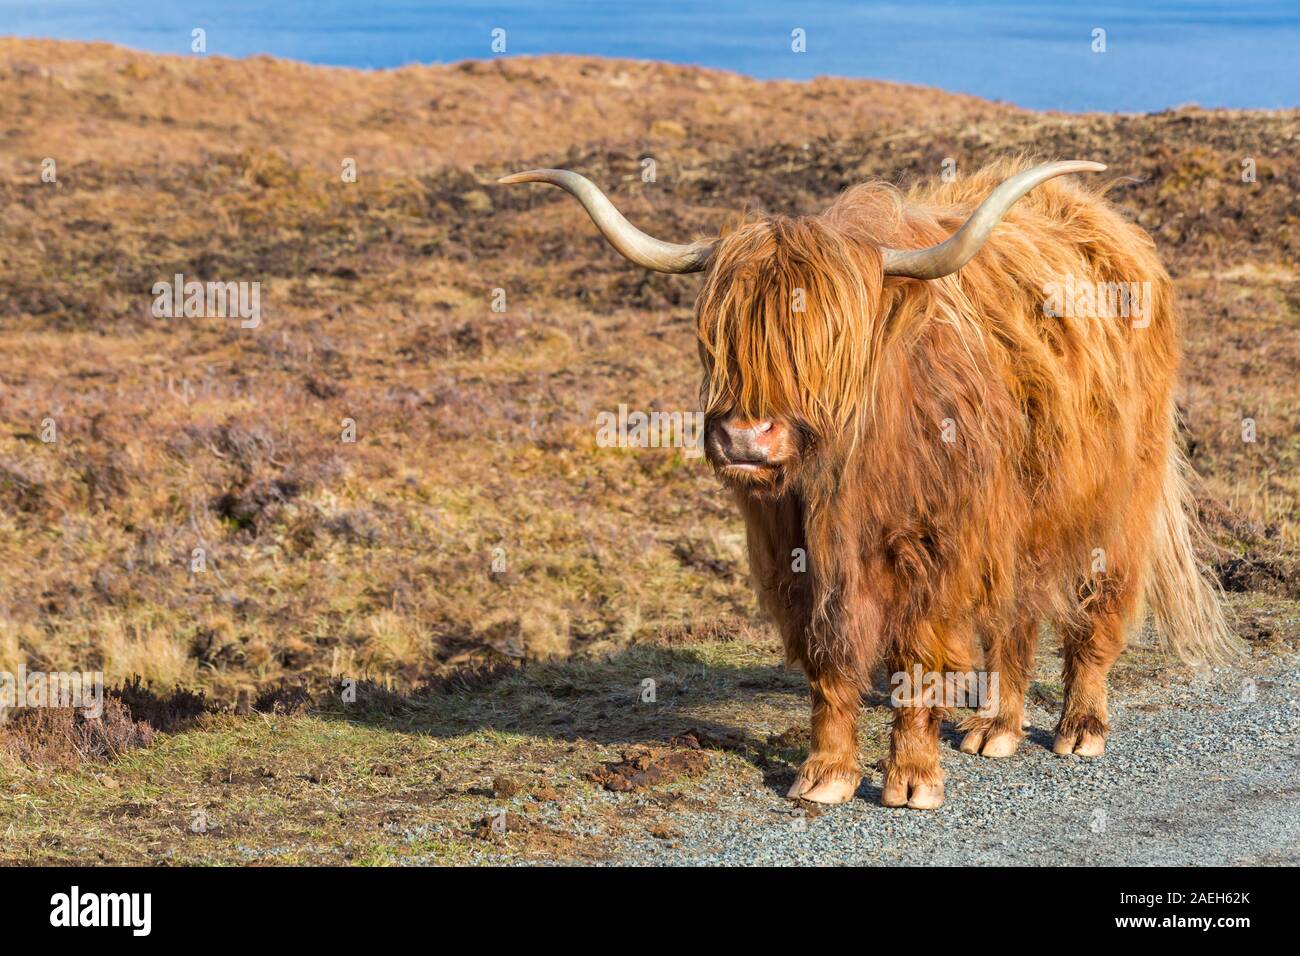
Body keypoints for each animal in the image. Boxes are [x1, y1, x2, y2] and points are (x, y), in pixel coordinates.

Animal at [500, 158, 1237, 809]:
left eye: (826, 341)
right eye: (721, 337)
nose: (745, 439)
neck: (842, 485)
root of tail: (1108, 225)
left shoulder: (937, 548)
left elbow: (919, 659)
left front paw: (912, 779)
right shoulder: (794, 557)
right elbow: (827, 662)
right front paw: (825, 774)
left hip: (1117, 500)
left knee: (1095, 609)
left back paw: (1080, 728)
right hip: (1019, 522)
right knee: (1017, 618)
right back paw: (995, 729)